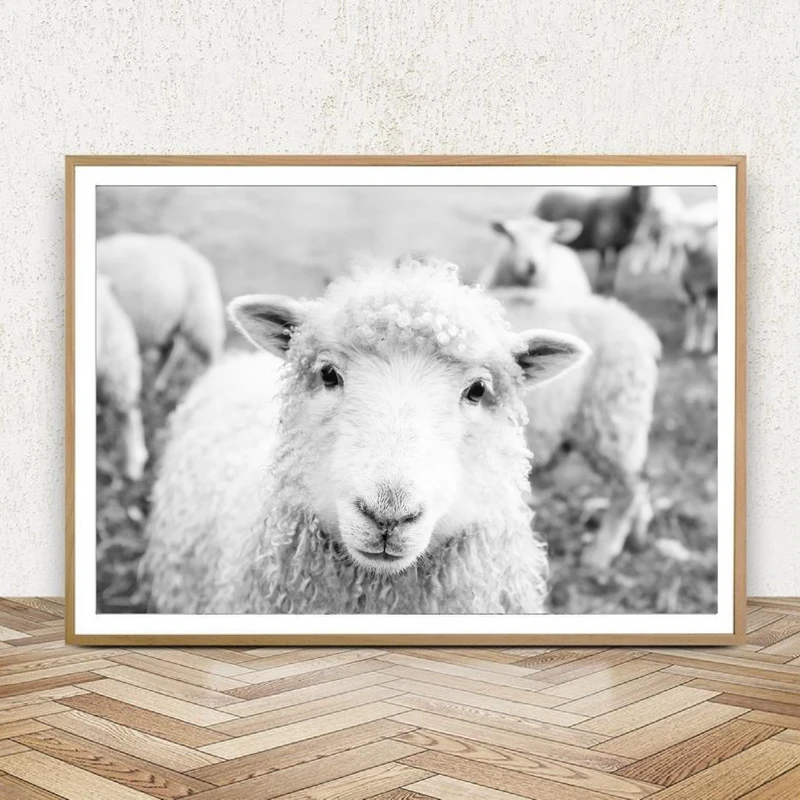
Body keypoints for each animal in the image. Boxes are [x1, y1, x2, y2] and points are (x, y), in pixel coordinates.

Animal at [492, 286, 661, 570]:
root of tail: (639, 327)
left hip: (611, 416)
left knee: (632, 485)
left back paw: (601, 553)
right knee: (641, 479)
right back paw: (637, 535)